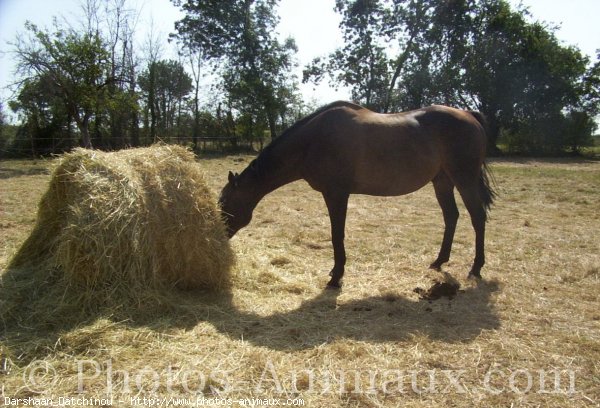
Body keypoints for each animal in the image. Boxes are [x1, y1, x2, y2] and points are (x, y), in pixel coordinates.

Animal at [218, 101, 494, 288]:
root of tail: (469, 115)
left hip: (464, 179)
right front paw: (335, 273)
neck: (313, 141)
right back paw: (439, 261)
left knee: (477, 217)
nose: (220, 236)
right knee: (451, 217)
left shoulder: (336, 194)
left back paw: (476, 268)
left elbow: (336, 234)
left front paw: (336, 276)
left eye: (225, 202)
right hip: (442, 181)